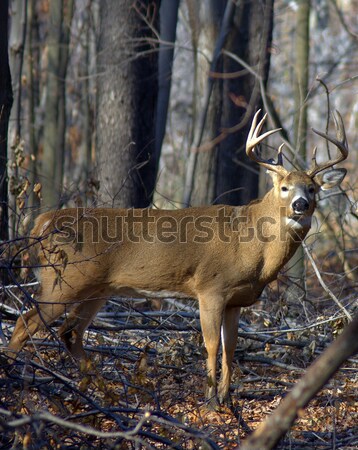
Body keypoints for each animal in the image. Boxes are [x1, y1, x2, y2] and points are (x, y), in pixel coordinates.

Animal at [6, 110, 346, 404]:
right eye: (285, 187)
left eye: (313, 188)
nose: (300, 205)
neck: (252, 245)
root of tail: (42, 222)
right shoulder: (210, 287)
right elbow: (211, 345)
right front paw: (210, 400)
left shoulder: (236, 300)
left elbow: (231, 347)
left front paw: (226, 398)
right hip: (63, 280)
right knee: (25, 323)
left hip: (96, 288)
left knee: (70, 332)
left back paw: (106, 393)